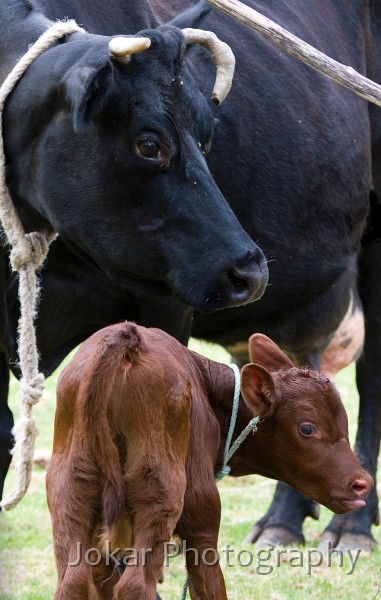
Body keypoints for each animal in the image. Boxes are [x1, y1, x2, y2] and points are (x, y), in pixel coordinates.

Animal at [46, 324, 372, 600]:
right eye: (307, 428)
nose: (362, 483)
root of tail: (128, 342)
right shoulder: (201, 521)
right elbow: (209, 585)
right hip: (163, 495)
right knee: (135, 585)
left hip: (70, 492)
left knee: (72, 582)